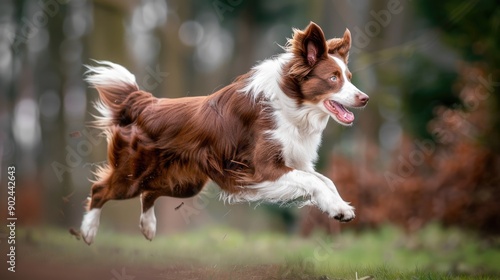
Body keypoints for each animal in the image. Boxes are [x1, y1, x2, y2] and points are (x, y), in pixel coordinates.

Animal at [79, 22, 368, 245]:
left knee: (148, 192)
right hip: (134, 173)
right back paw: (88, 231)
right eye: (333, 78)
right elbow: (313, 181)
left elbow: (325, 180)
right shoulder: (262, 169)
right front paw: (337, 208)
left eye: (349, 76)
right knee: (100, 189)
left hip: (184, 183)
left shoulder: (293, 160)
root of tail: (143, 103)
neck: (292, 104)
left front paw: (340, 207)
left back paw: (148, 226)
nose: (364, 98)